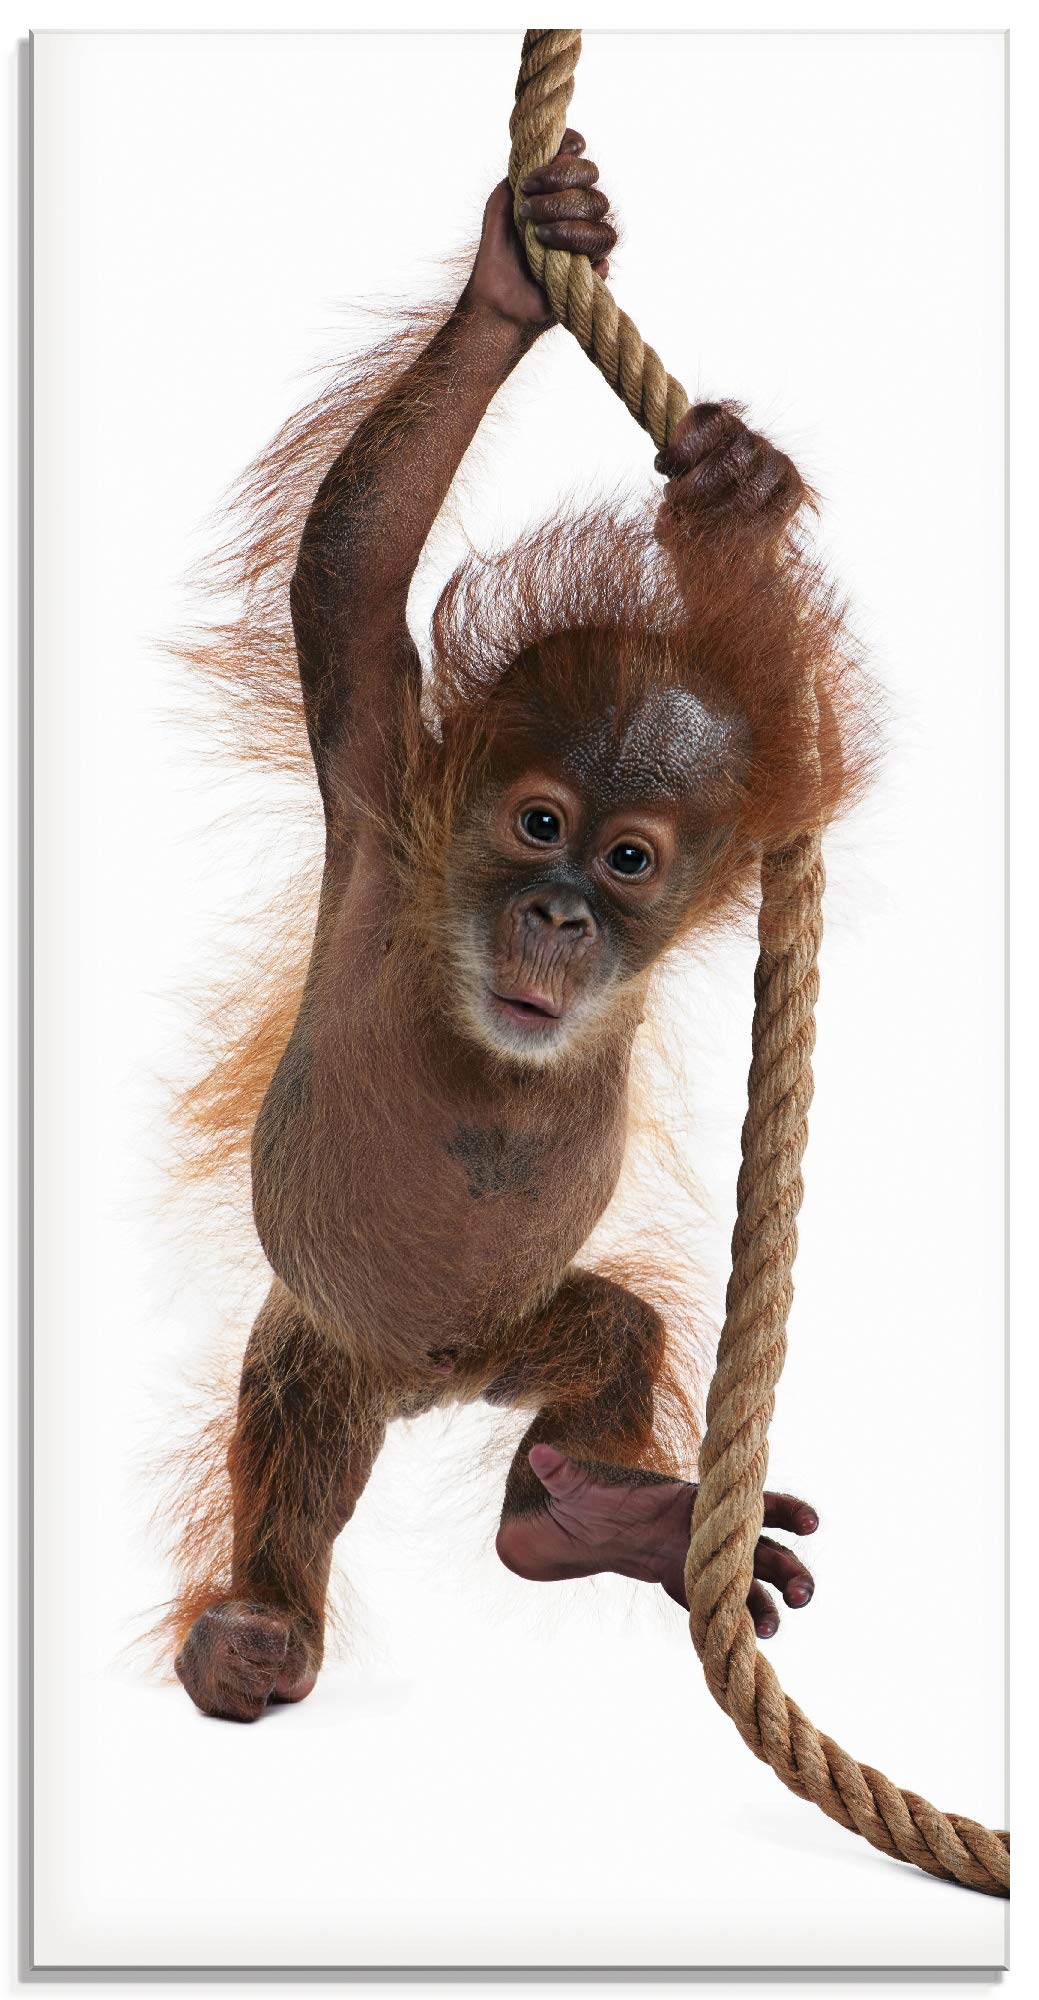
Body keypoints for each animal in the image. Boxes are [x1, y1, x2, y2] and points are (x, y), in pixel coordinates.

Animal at [167, 134, 875, 1723]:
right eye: (538, 826)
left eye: (628, 860)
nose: (557, 914)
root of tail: (424, 1380)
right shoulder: (381, 794)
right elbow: (349, 580)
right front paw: (506, 282)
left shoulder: (747, 817)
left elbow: (776, 716)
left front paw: (738, 496)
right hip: (334, 1334)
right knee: (297, 1418)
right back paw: (253, 1635)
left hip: (515, 1328)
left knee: (609, 1332)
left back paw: (585, 1520)